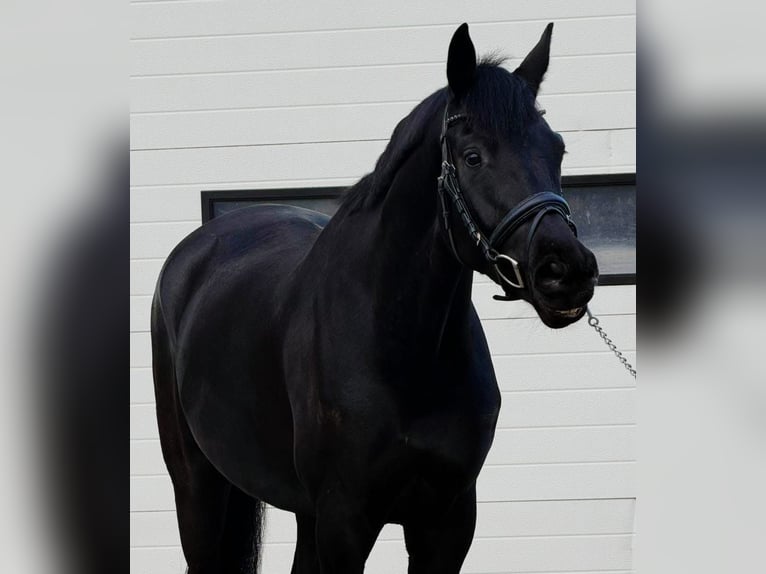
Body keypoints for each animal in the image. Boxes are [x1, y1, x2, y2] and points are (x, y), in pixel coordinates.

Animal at [151, 22, 598, 573]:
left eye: (557, 150)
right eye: (473, 156)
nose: (566, 270)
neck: (403, 351)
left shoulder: (446, 522)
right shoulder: (345, 521)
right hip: (197, 484)